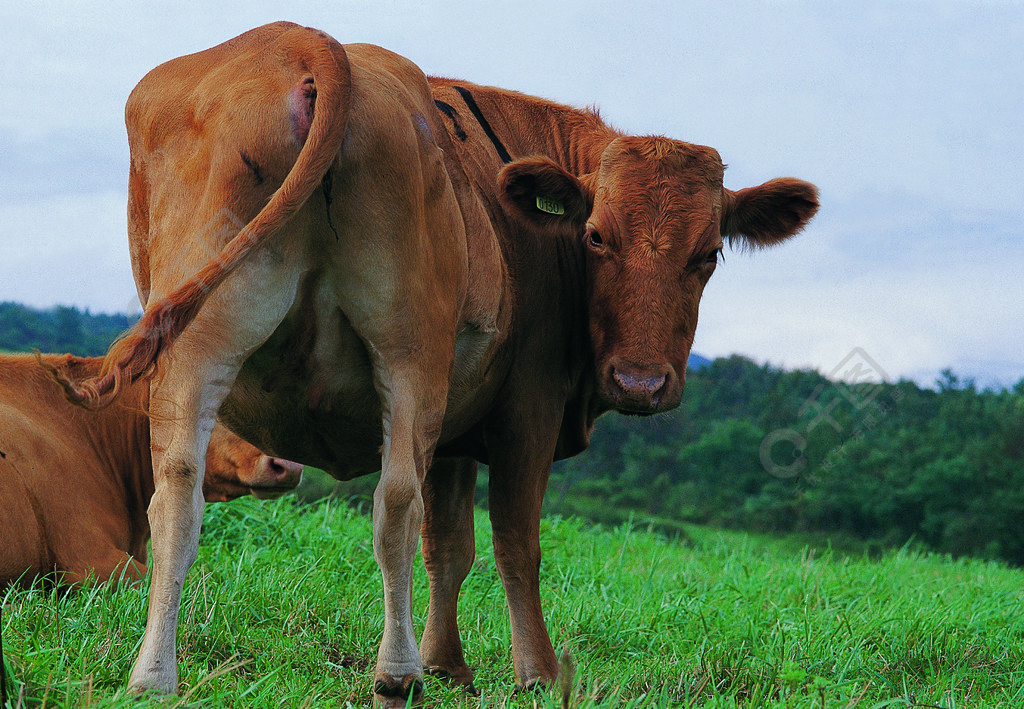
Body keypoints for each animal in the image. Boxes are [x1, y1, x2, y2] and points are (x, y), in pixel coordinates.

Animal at [56, 20, 819, 704]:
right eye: (597, 236)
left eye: (708, 254)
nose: (641, 381)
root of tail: (304, 40)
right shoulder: (527, 408)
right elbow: (513, 541)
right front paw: (535, 672)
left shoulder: (454, 430)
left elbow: (449, 545)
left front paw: (449, 664)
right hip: (408, 351)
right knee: (394, 503)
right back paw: (395, 673)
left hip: (197, 350)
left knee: (176, 501)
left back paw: (153, 675)